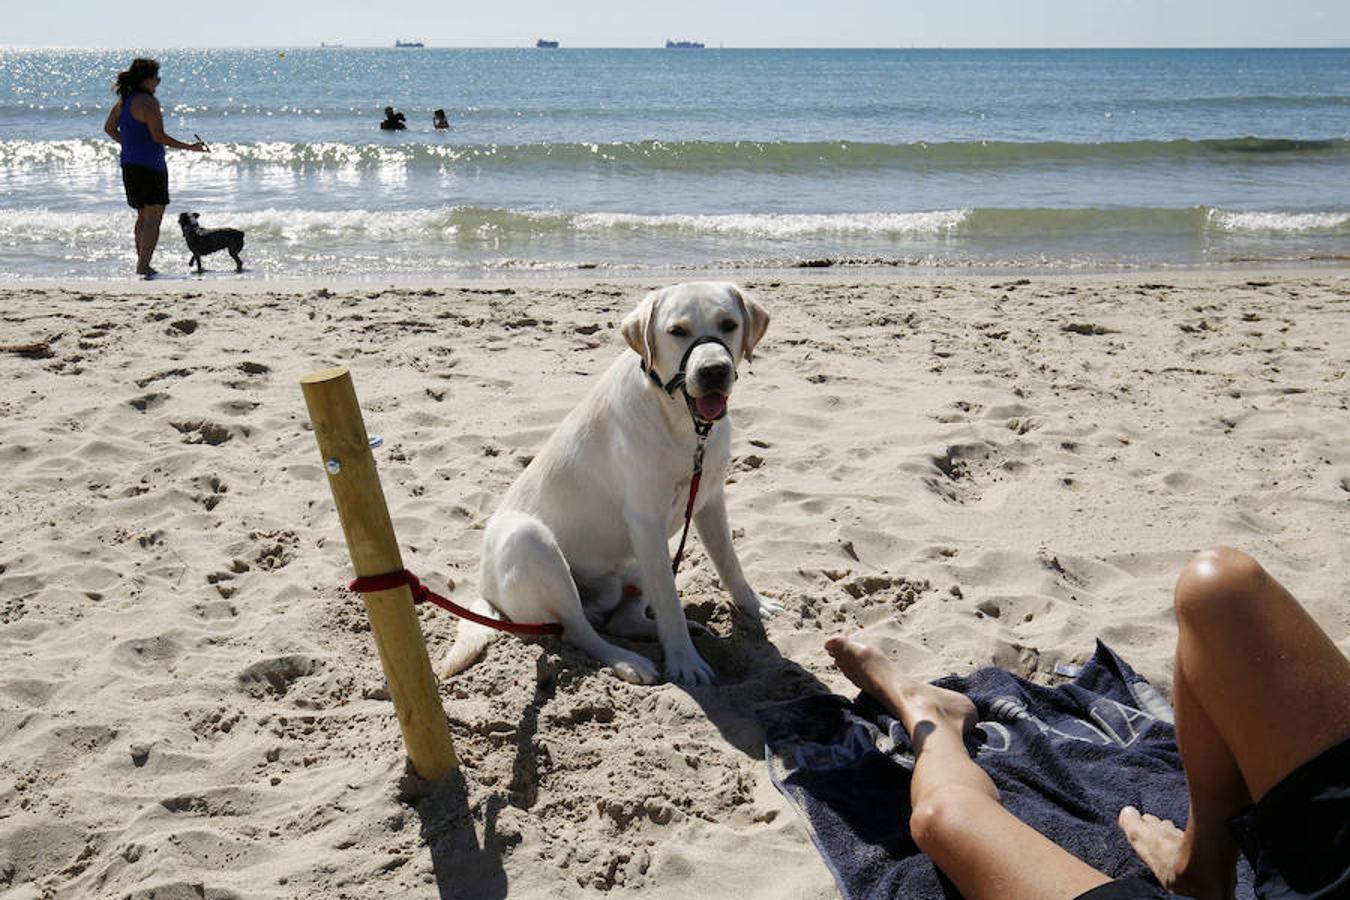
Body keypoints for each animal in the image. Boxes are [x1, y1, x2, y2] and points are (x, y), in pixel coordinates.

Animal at [442, 284, 777, 685]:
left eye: (729, 324)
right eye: (677, 331)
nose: (714, 371)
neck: (684, 424)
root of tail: (485, 591)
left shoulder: (709, 499)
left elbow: (729, 561)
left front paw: (753, 604)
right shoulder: (647, 521)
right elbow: (670, 605)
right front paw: (685, 662)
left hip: (635, 559)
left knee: (621, 619)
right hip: (531, 541)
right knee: (580, 630)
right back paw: (629, 661)